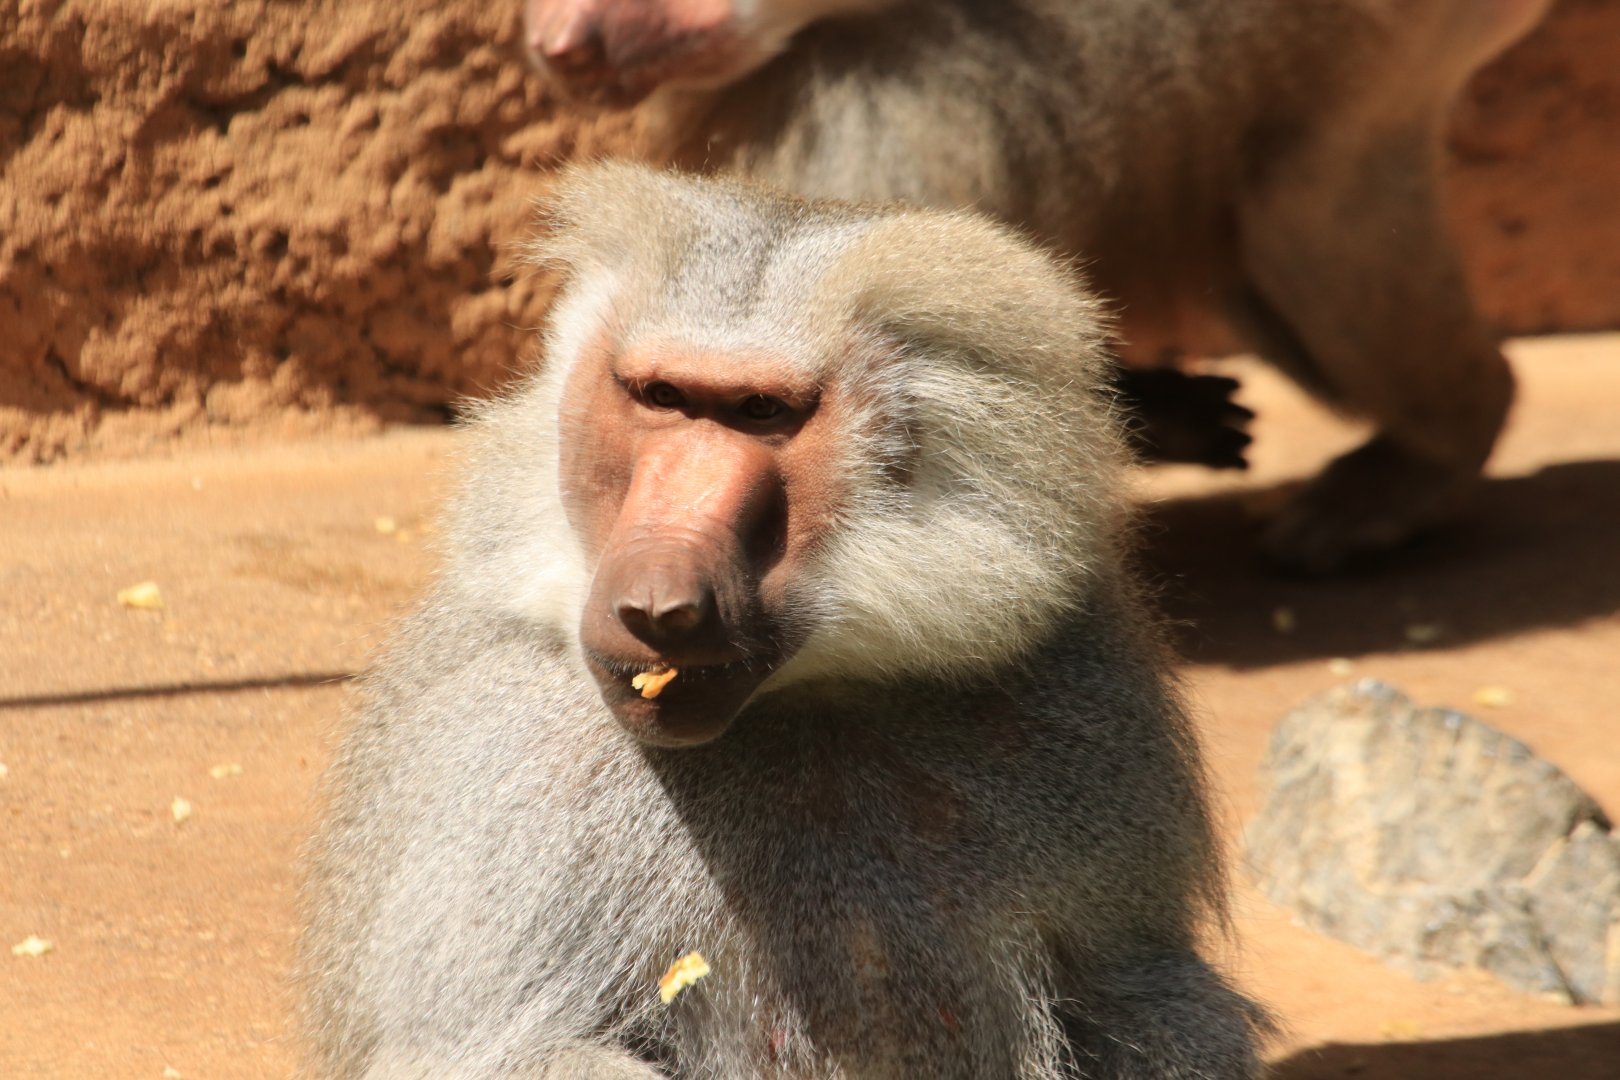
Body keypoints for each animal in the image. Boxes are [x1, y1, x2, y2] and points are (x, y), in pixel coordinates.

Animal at [298, 163, 1270, 1079]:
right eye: (660, 396)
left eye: (760, 412)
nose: (656, 604)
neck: (805, 698)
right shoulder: (517, 758)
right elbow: (494, 1052)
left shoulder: (1079, 726)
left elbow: (1147, 1001)